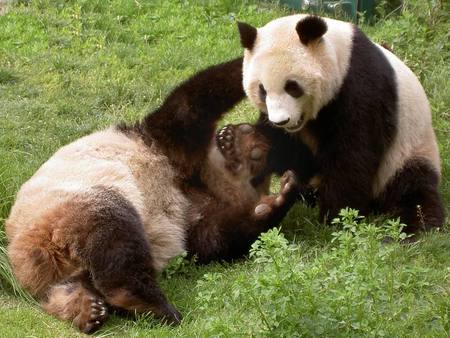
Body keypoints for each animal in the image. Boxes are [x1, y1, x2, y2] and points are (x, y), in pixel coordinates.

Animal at [6, 58, 298, 332]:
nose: (255, 151)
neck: (192, 180)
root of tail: (31, 253)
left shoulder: (192, 210)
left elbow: (216, 236)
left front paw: (275, 200)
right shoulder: (165, 144)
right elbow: (192, 105)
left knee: (71, 283)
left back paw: (84, 308)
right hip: (74, 206)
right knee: (115, 239)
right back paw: (150, 305)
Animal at [237, 15, 444, 232]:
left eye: (292, 86)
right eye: (262, 90)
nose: (282, 121)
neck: (340, 55)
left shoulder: (360, 86)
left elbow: (352, 153)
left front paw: (337, 217)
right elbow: (282, 147)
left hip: (406, 151)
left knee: (411, 189)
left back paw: (417, 224)